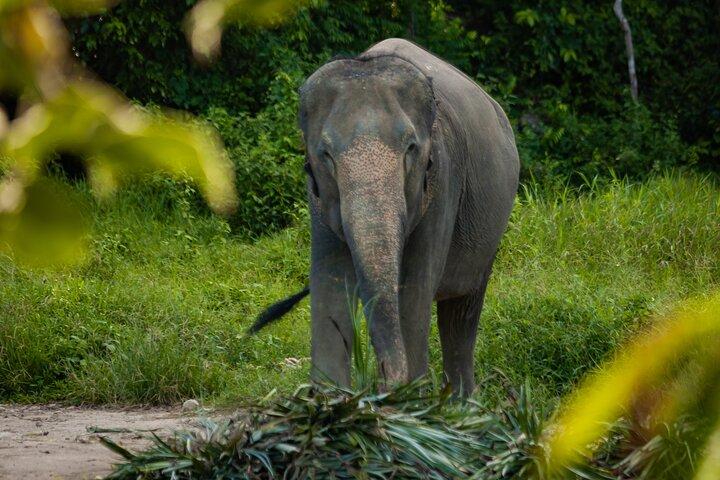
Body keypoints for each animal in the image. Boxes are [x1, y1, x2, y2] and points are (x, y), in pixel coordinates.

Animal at [251, 38, 519, 395]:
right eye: (325, 155)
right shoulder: (317, 198)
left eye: (411, 149)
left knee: (462, 310)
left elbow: (414, 287)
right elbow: (330, 280)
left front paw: (408, 398)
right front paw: (329, 399)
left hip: (490, 232)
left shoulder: (442, 182)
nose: (381, 385)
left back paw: (461, 403)